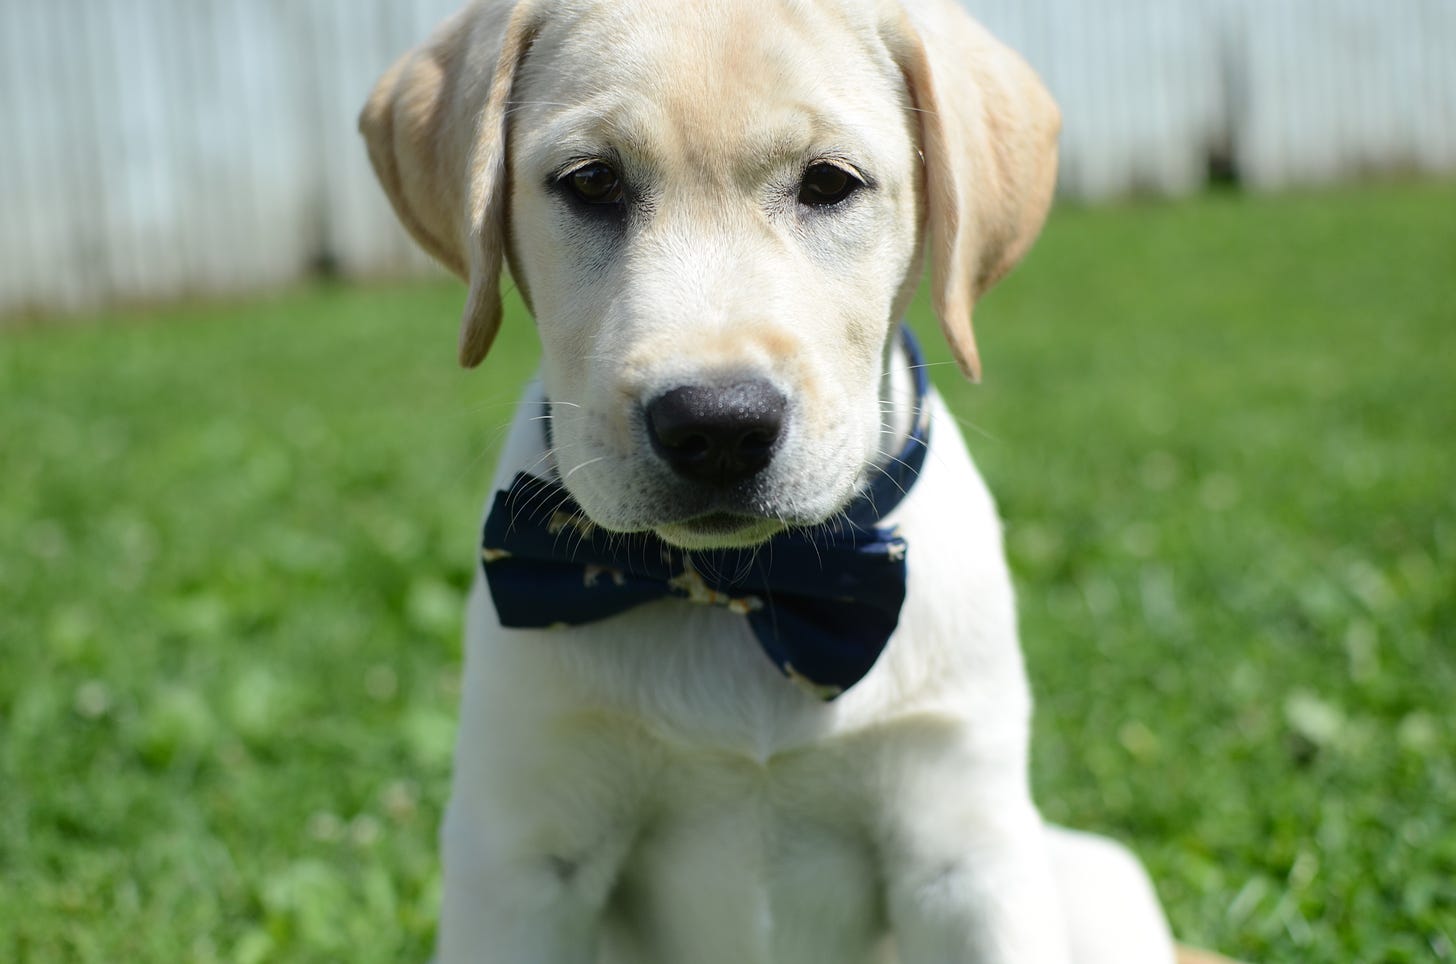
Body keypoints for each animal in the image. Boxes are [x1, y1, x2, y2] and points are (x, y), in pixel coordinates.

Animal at [366, 1, 1217, 964]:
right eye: (590, 183)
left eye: (829, 183)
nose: (717, 429)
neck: (751, 591)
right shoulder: (522, 857)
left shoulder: (965, 855)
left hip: (1089, 873)